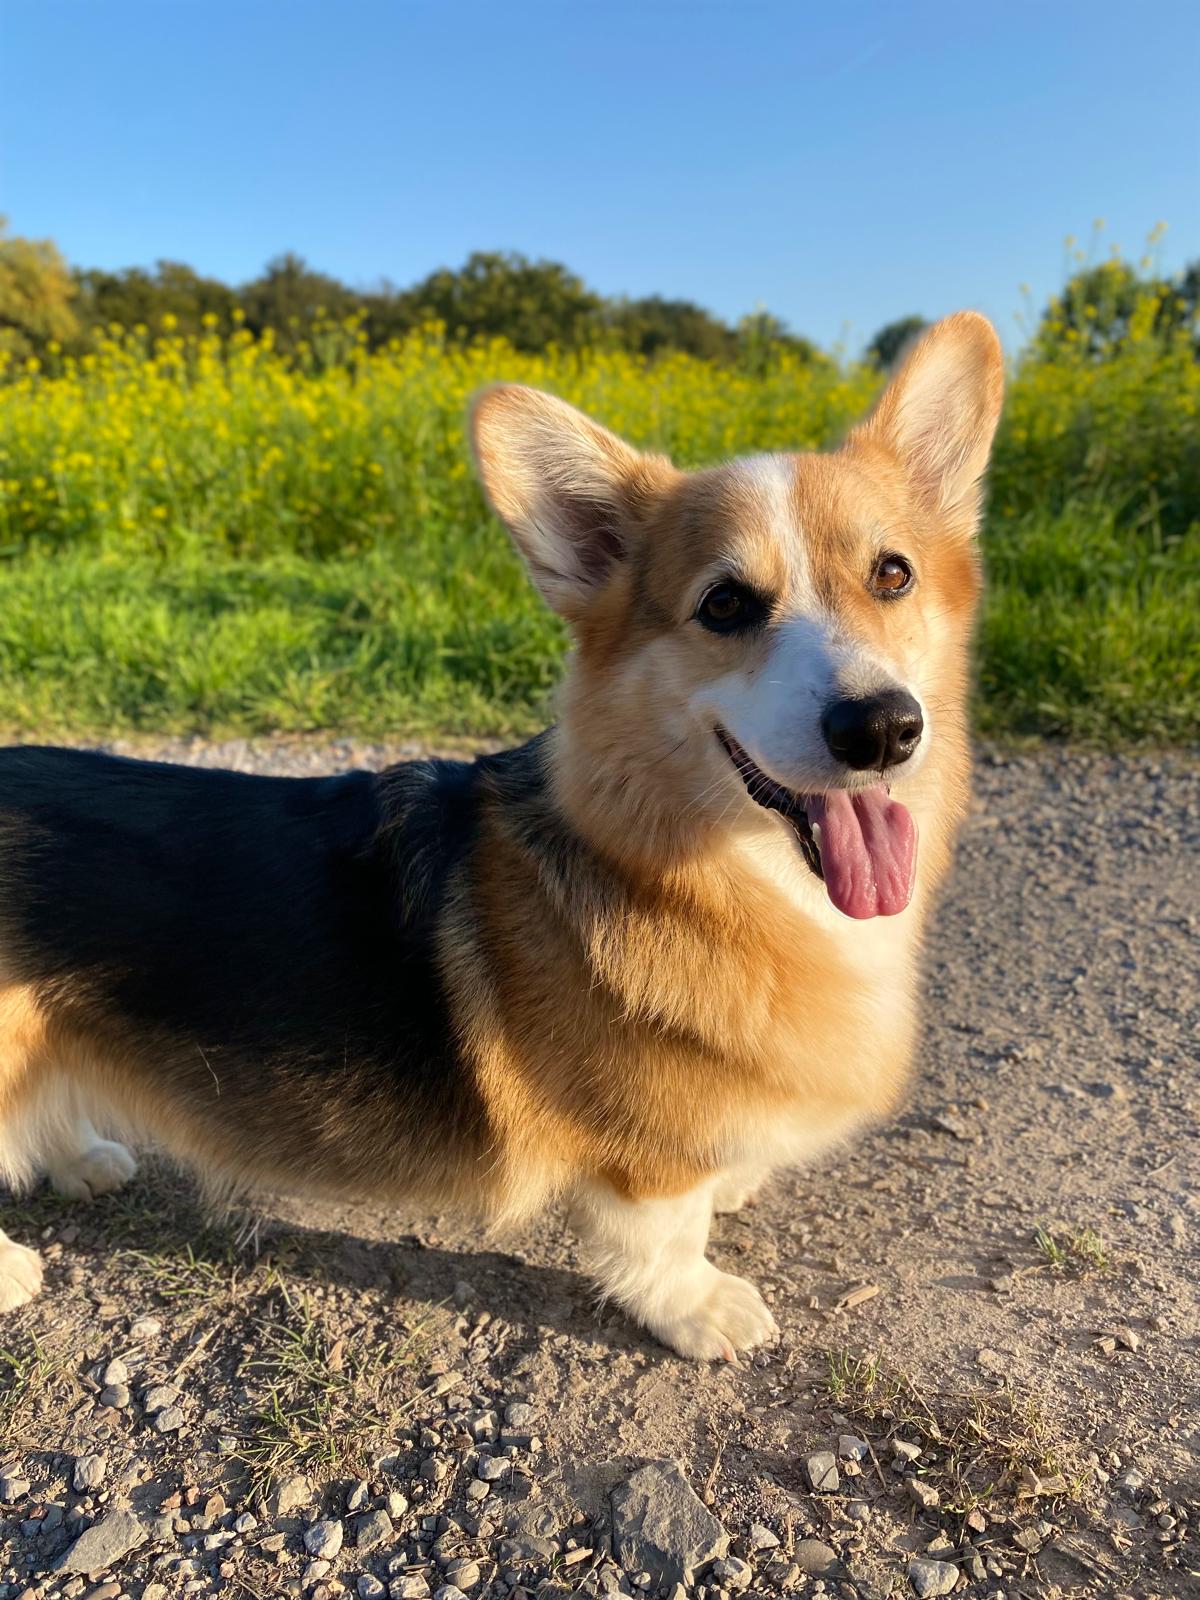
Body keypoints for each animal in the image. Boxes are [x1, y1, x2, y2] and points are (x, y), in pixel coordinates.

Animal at [0, 315, 1004, 1363]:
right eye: (724, 604)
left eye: (892, 574)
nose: (881, 728)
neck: (705, 871)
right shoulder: (643, 1160)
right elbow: (661, 1234)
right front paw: (701, 1308)